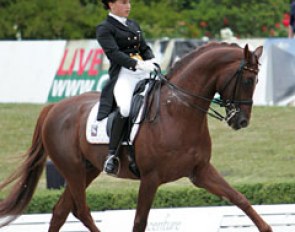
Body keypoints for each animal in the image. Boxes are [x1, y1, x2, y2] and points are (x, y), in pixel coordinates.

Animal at [0, 42, 272, 231]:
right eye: (248, 80)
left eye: (258, 80)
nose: (241, 121)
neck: (178, 112)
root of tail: (54, 108)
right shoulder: (150, 179)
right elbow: (140, 221)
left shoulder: (200, 171)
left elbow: (239, 198)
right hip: (73, 169)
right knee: (82, 211)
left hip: (87, 170)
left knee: (61, 212)